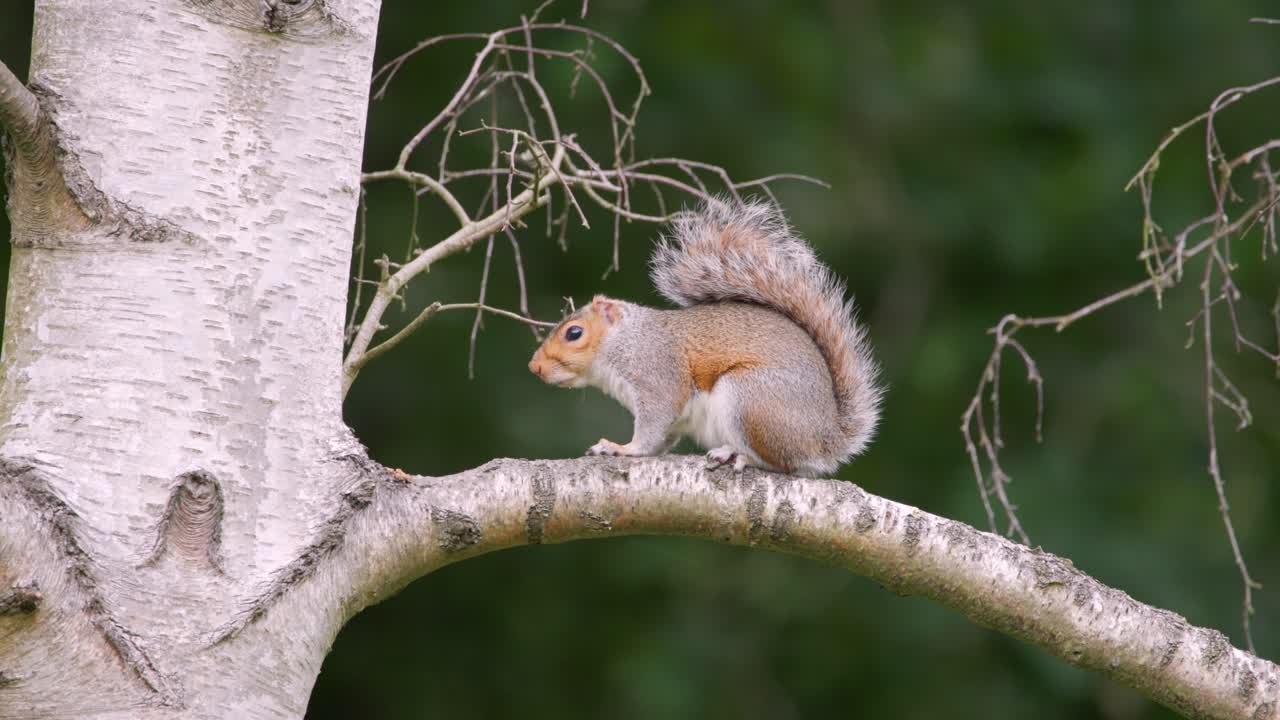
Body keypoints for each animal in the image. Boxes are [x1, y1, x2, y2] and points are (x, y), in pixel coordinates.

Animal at [528, 198, 882, 476]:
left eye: (574, 333)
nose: (535, 367)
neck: (625, 340)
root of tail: (826, 438)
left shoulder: (658, 375)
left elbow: (652, 428)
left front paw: (622, 449)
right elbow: (663, 438)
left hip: (751, 399)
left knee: (781, 463)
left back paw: (737, 454)